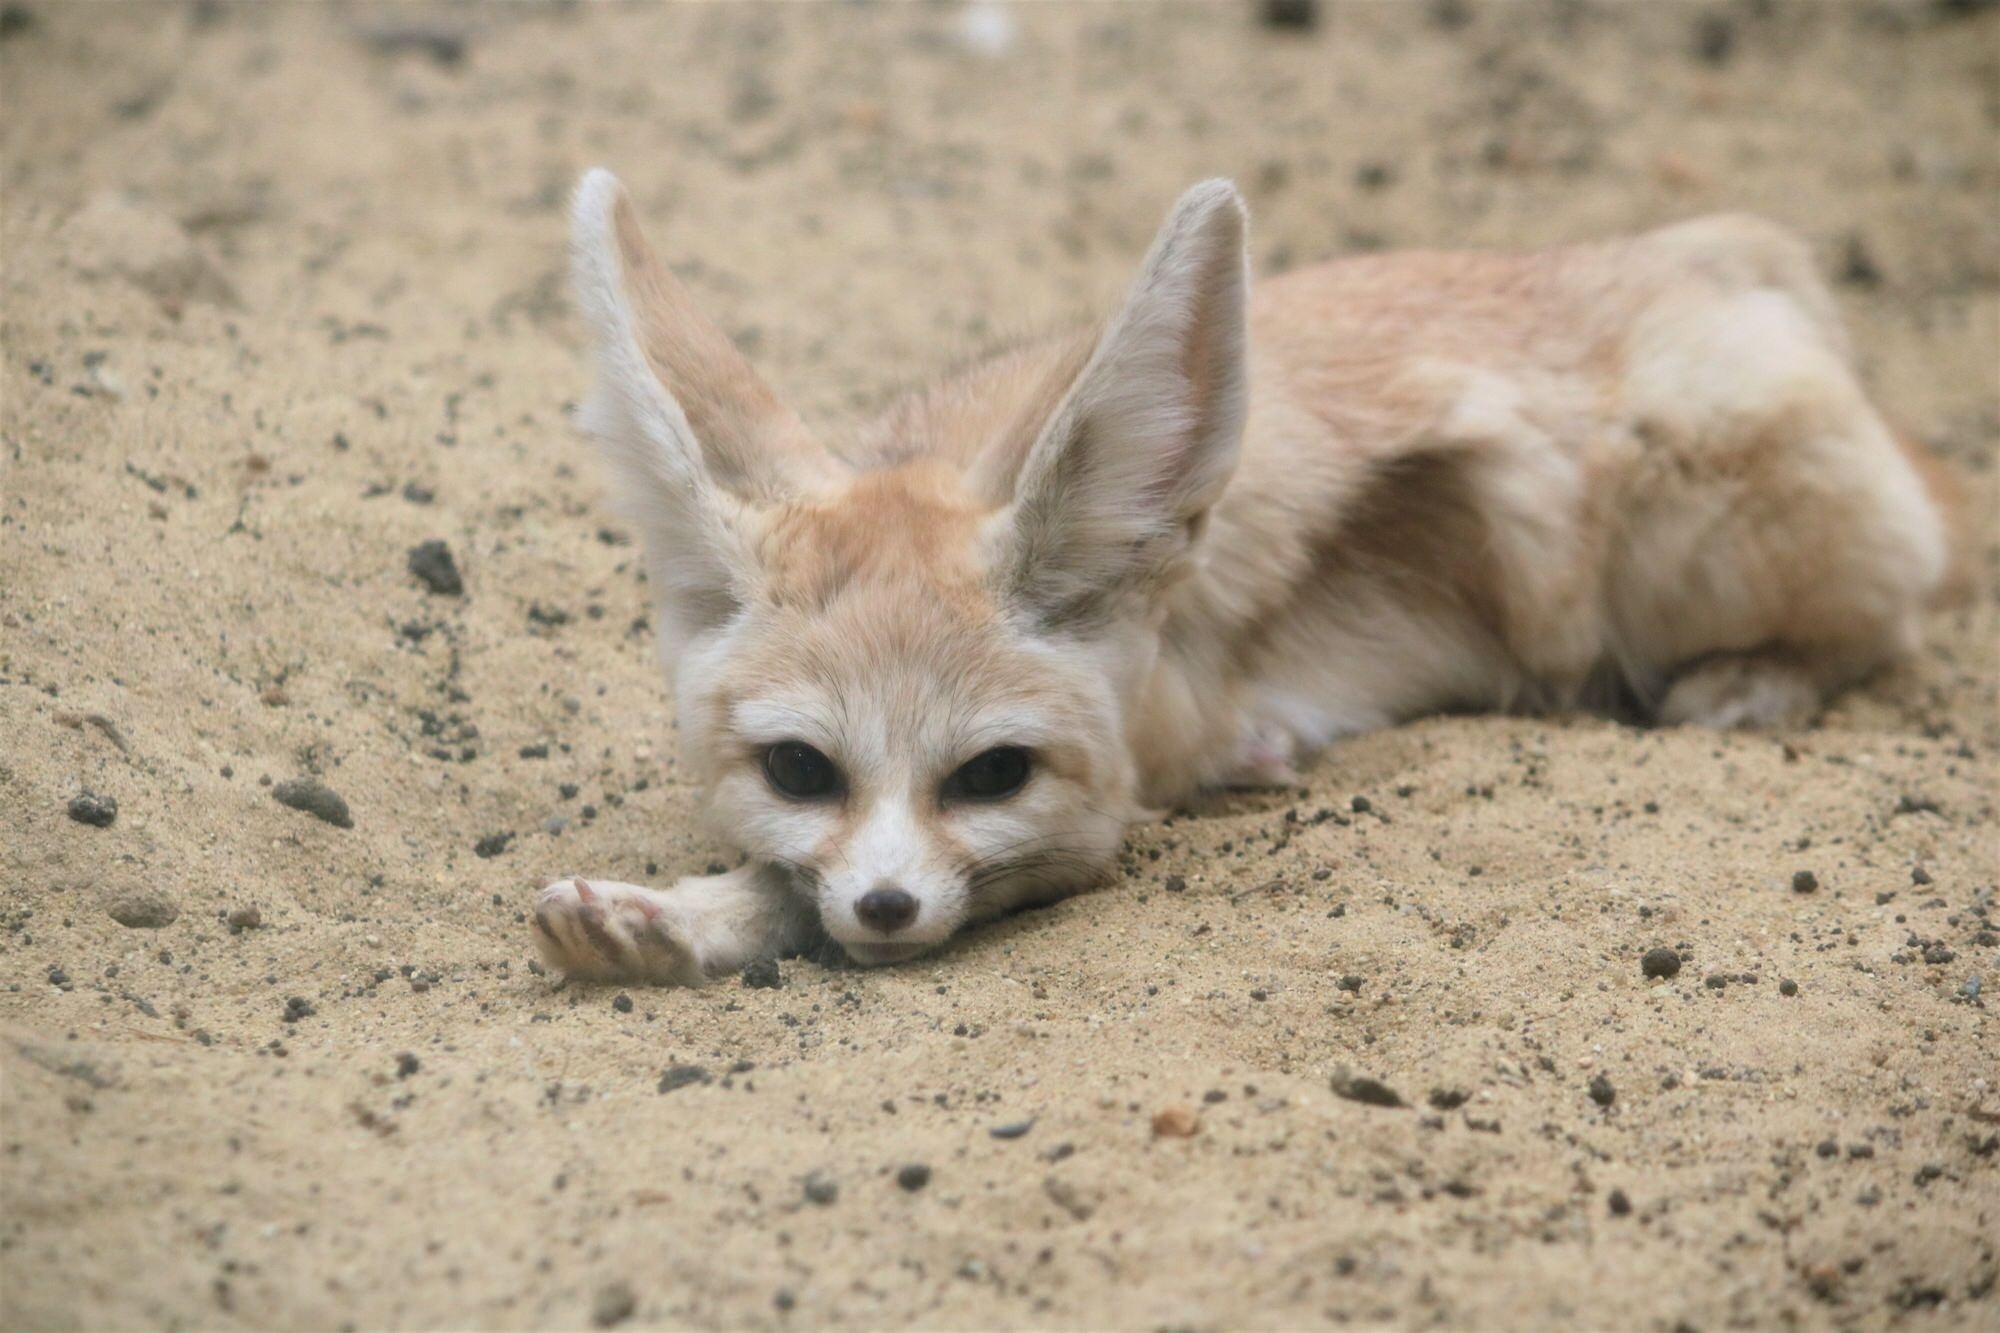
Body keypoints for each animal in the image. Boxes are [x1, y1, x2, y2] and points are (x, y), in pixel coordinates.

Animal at [532, 169, 1952, 976]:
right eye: (797, 770)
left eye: (990, 775)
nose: (886, 907)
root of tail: (1704, 245)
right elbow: (792, 877)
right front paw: (667, 920)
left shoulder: (1092, 832)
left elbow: (834, 889)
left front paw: (696, 918)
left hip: (1683, 524)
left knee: (1892, 603)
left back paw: (1753, 680)